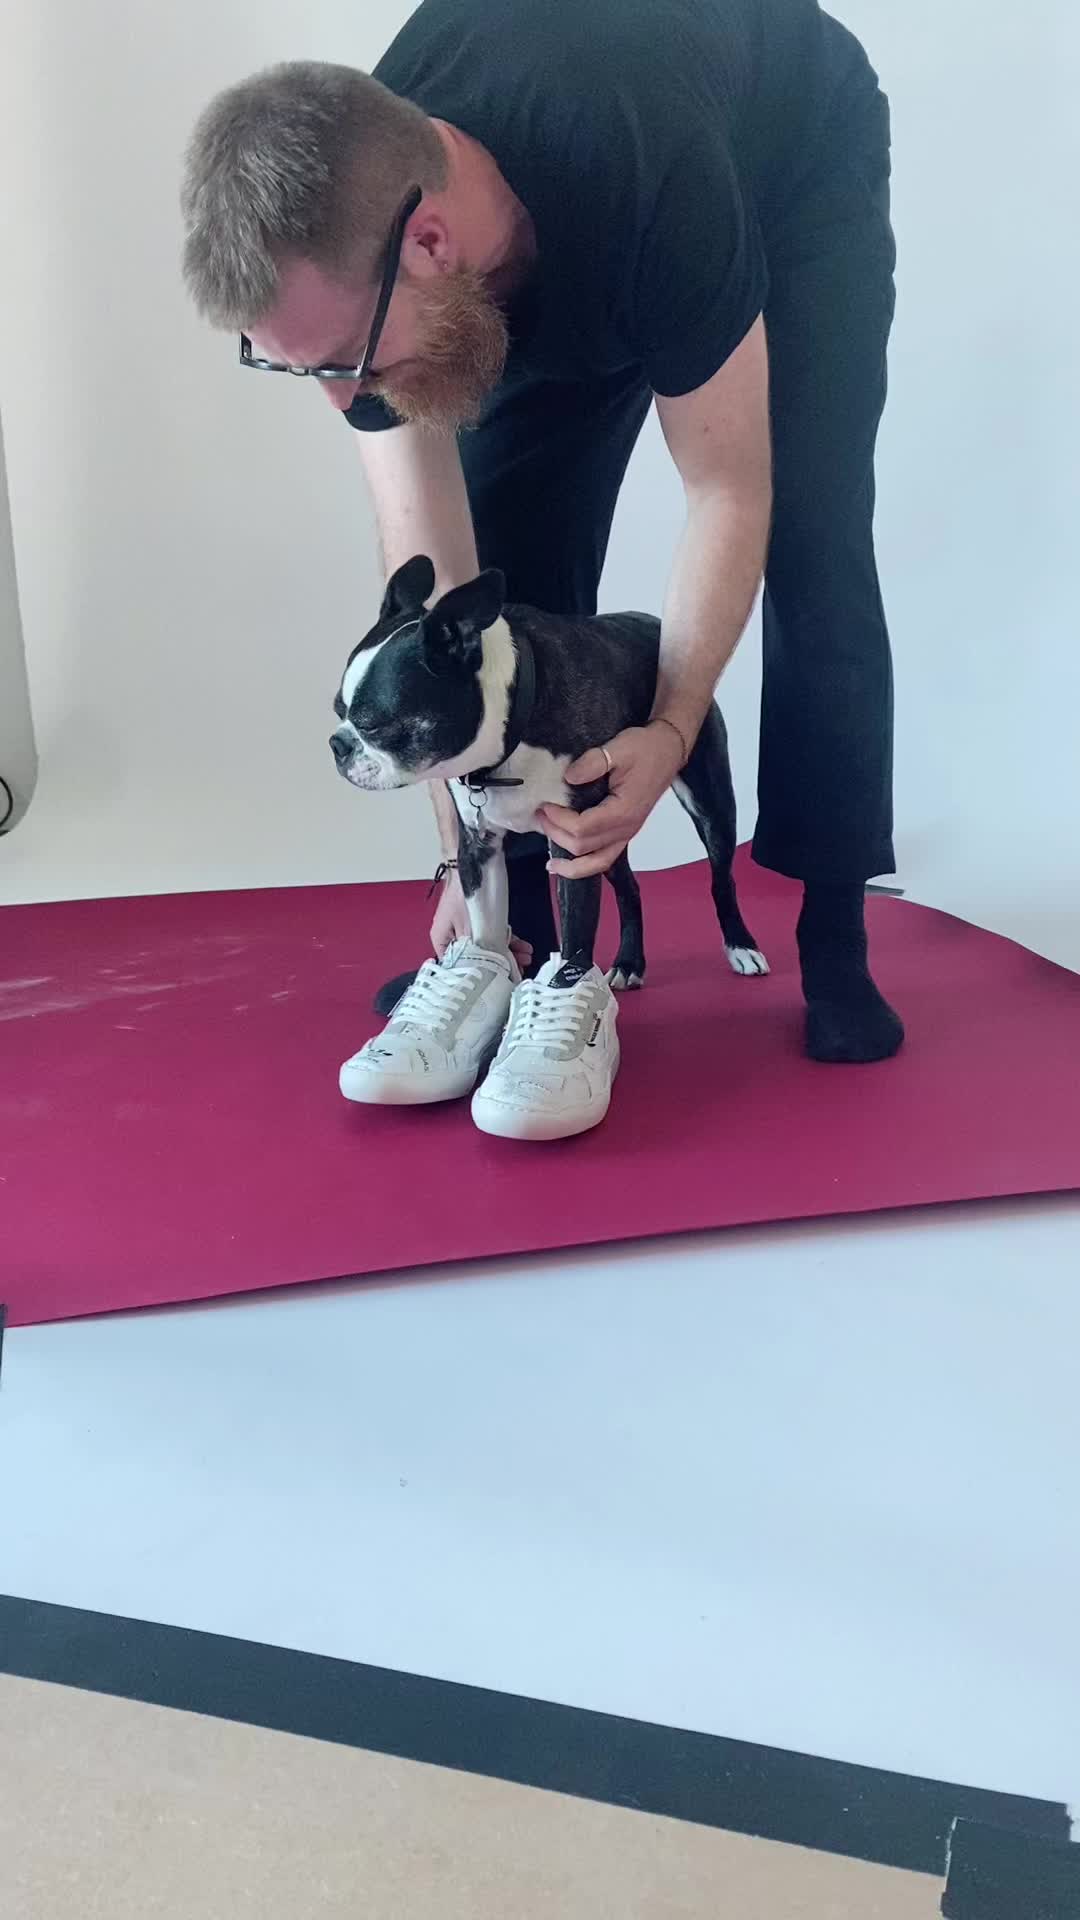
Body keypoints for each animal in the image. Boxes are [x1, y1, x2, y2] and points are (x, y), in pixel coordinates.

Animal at [330, 554, 767, 990]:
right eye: (338, 710)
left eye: (373, 724)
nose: (337, 745)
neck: (511, 731)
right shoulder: (480, 849)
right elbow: (487, 934)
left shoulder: (572, 848)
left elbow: (573, 943)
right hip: (609, 829)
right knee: (629, 888)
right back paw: (629, 962)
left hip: (706, 801)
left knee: (721, 876)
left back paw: (740, 946)